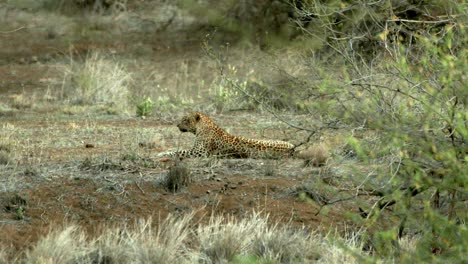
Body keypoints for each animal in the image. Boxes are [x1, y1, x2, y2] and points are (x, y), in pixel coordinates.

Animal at [159, 112, 294, 159]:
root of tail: (292, 148)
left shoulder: (199, 152)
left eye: (185, 120)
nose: (177, 125)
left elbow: (178, 151)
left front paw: (161, 154)